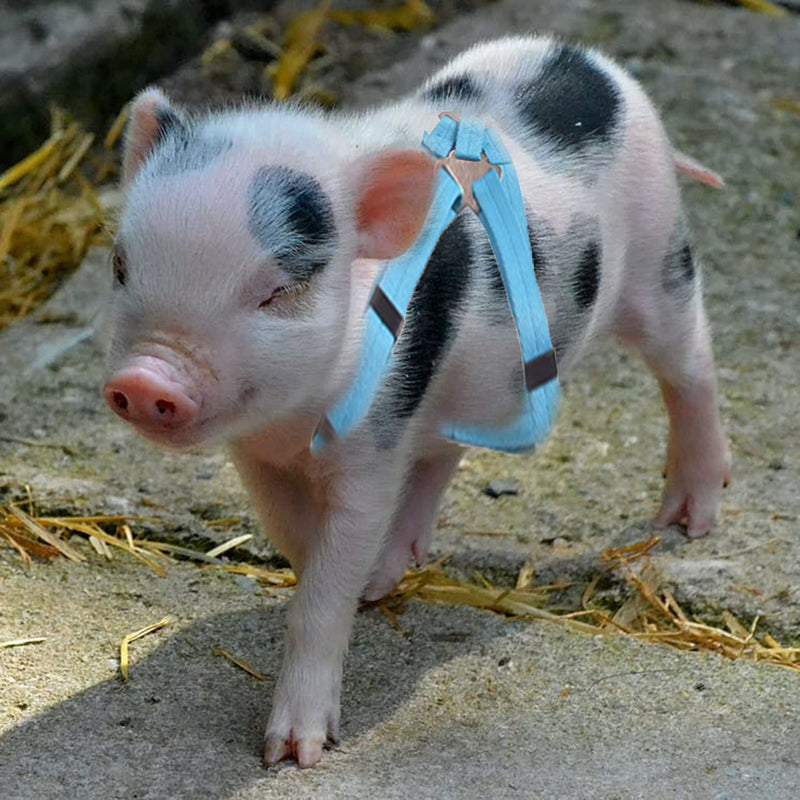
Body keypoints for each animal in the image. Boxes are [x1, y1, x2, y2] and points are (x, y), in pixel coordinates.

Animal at [103, 35, 731, 768]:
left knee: (691, 366)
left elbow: (324, 586)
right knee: (444, 451)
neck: (292, 423)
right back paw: (392, 566)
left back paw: (687, 520)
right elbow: (295, 537)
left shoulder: (373, 443)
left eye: (275, 291)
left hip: (660, 258)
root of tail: (583, 58)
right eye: (120, 265)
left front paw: (292, 755)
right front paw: (361, 580)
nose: (146, 379)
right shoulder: (260, 455)